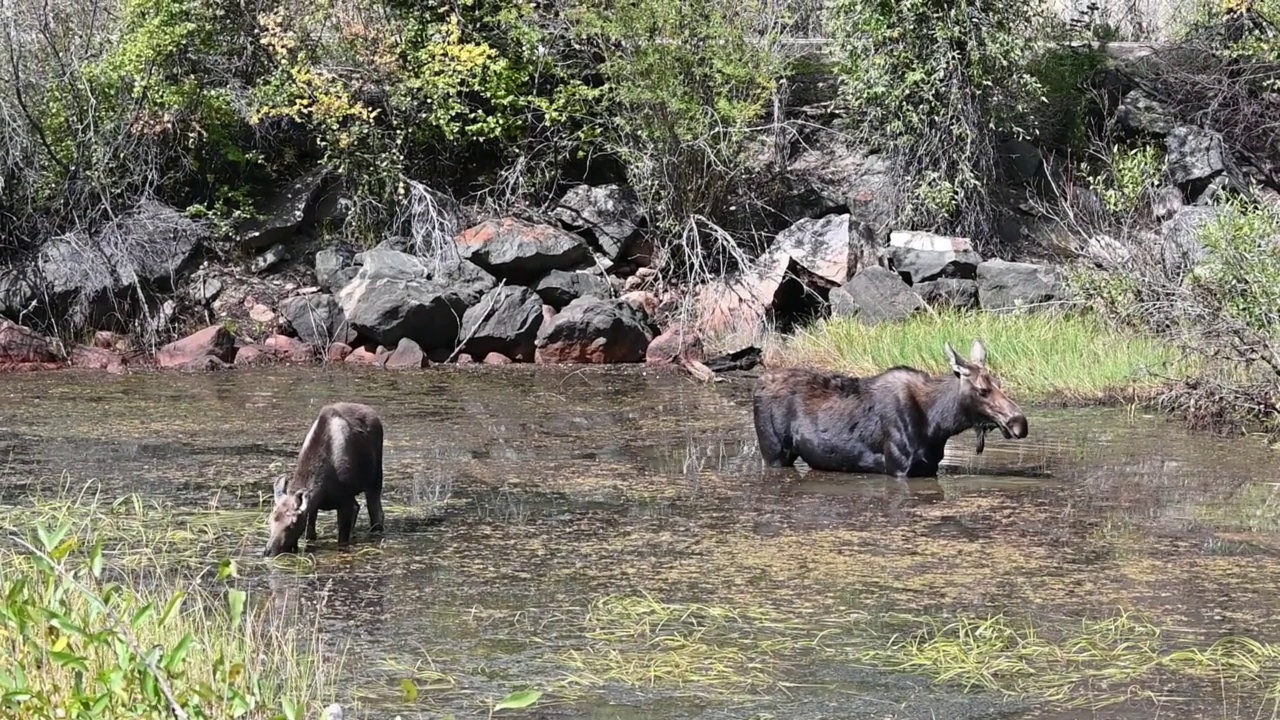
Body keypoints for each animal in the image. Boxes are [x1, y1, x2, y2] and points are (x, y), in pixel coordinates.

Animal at [263, 397, 384, 556]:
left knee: (377, 514)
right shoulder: (313, 507)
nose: (268, 550)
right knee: (359, 507)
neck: (323, 488)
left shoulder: (345, 502)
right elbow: (310, 535)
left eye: (292, 523)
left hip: (375, 480)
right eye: (270, 520)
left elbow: (342, 540)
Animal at [747, 338, 1029, 476]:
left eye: (999, 383)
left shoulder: (929, 467)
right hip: (774, 453)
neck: (939, 424)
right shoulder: (899, 467)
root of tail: (758, 383)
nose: (1020, 423)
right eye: (983, 390)